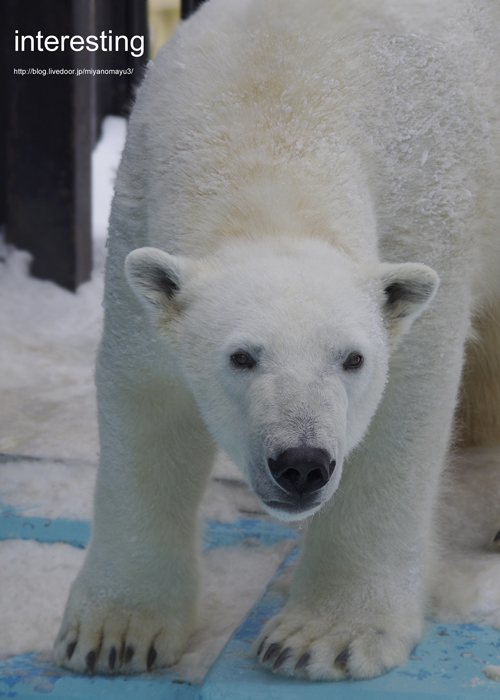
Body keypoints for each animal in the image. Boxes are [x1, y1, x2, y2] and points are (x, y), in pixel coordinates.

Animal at [54, 0, 500, 680]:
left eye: (352, 359)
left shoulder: (426, 209)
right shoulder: (139, 205)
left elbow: (403, 409)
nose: (302, 464)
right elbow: (147, 402)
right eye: (241, 357)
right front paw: (113, 633)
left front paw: (321, 638)